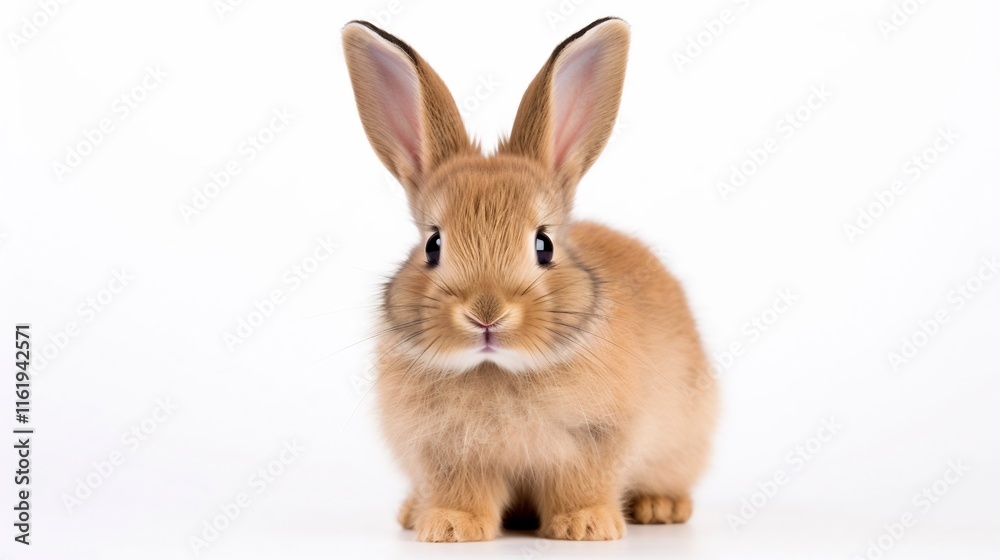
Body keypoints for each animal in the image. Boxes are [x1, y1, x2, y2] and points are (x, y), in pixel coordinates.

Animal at [341, 16, 717, 542]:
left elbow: (582, 483)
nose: (486, 314)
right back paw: (413, 512)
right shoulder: (447, 452)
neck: (497, 368)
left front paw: (586, 526)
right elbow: (461, 491)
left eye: (544, 245)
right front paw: (451, 527)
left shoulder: (594, 440)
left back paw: (659, 507)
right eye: (433, 245)